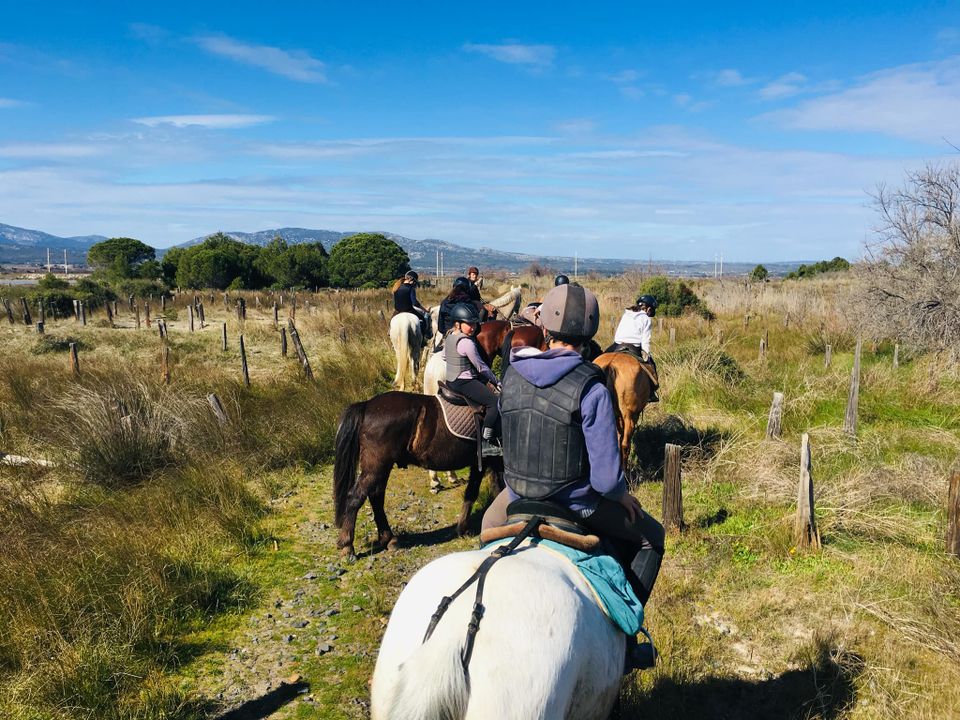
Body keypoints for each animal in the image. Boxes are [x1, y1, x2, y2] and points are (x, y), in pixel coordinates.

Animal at [334, 390, 506, 560]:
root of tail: (367, 405)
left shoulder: (487, 463)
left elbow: (488, 491)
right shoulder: (490, 462)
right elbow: (486, 491)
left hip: (381, 467)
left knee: (376, 497)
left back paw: (389, 539)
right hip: (376, 467)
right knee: (356, 497)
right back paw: (347, 546)